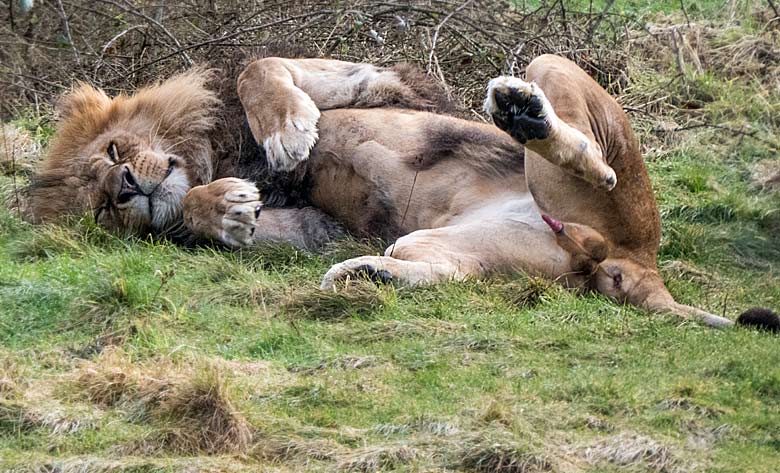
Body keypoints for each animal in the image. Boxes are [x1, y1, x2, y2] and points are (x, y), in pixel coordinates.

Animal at [22, 54, 772, 328]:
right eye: (99, 208)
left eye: (114, 152)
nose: (124, 189)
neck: (216, 152)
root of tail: (635, 265)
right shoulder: (316, 227)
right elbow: (216, 219)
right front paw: (220, 208)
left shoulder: (379, 82)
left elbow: (259, 69)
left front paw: (287, 133)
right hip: (456, 243)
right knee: (440, 273)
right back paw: (363, 277)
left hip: (568, 104)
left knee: (577, 136)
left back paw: (528, 116)